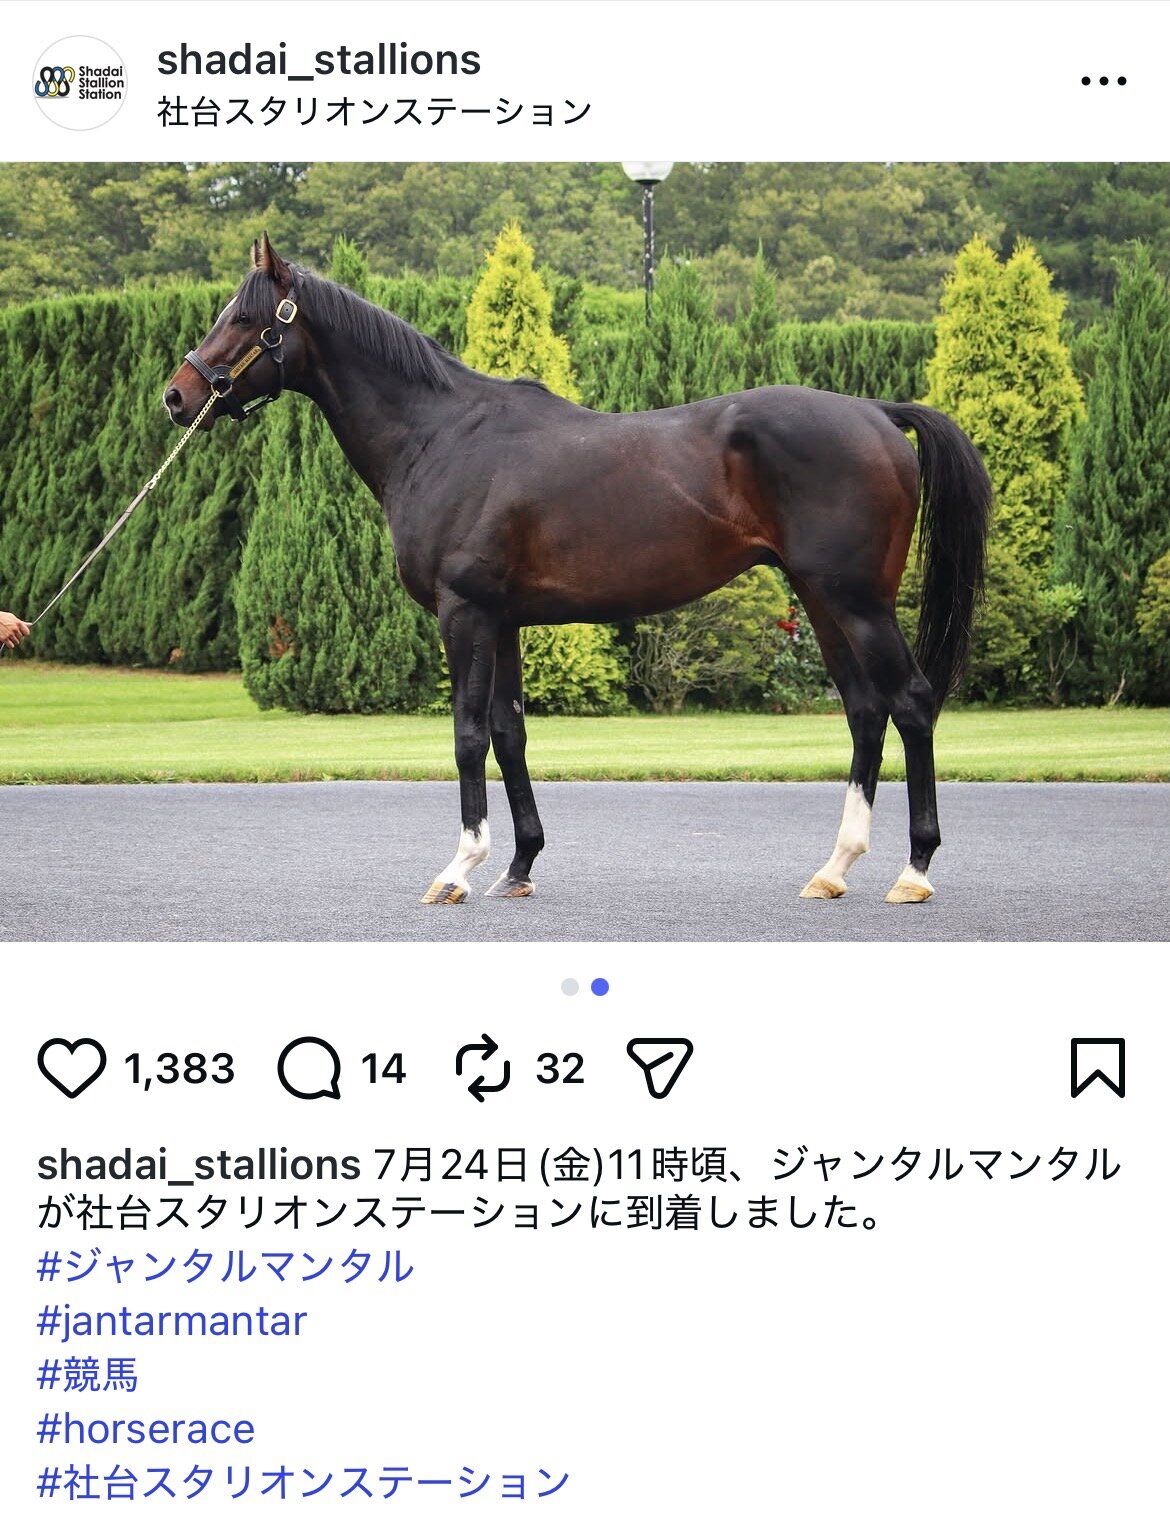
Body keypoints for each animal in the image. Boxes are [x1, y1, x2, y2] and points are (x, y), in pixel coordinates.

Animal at [164, 234, 991, 908]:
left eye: (248, 319)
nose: (179, 395)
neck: (442, 437)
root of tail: (876, 413)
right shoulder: (501, 619)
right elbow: (509, 733)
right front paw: (518, 867)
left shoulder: (463, 613)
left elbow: (467, 733)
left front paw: (458, 869)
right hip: (821, 600)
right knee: (864, 710)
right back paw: (835, 868)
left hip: (857, 602)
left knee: (912, 703)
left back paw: (914, 871)